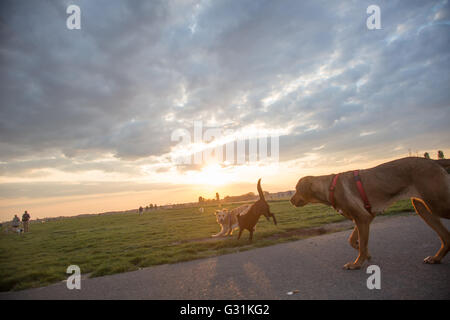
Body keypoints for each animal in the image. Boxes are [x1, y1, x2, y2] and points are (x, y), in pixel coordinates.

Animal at [290, 158, 448, 270]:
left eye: (297, 189)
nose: (290, 200)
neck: (330, 188)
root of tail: (434, 161)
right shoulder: (365, 217)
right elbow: (354, 241)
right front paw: (366, 254)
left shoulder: (363, 218)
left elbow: (362, 244)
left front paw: (357, 264)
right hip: (422, 206)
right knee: (446, 237)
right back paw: (436, 258)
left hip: (437, 204)